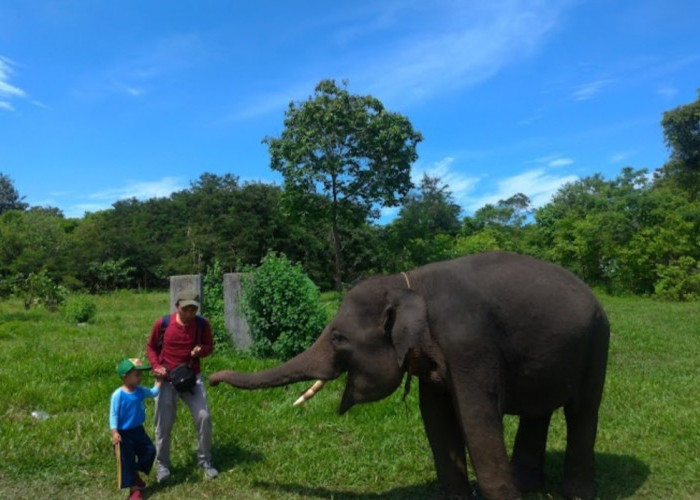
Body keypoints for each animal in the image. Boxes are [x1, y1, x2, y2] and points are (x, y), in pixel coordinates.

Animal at [209, 254, 608, 500]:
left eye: (338, 338)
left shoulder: (470, 345)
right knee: (537, 413)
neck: (408, 281)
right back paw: (530, 488)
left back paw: (576, 493)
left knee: (583, 411)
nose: (211, 379)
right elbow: (436, 417)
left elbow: (476, 417)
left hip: (597, 342)